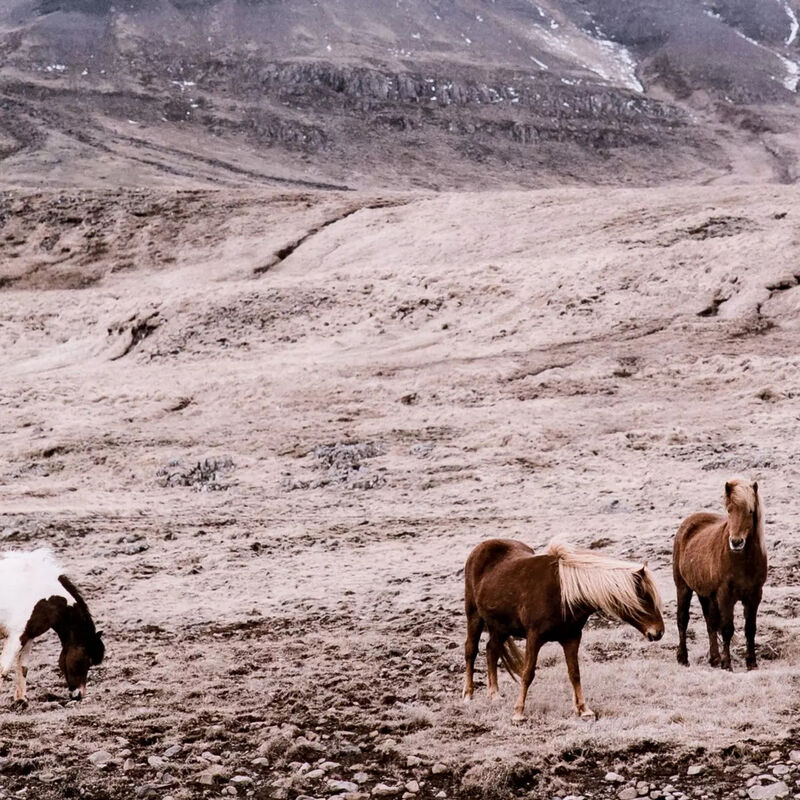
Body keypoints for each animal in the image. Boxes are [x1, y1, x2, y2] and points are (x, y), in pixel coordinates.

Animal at [0, 549, 105, 704]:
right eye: (87, 659)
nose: (79, 695)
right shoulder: (17, 636)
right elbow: (4, 669)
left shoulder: (28, 636)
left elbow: (23, 667)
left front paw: (21, 700)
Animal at [463, 538, 664, 721]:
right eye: (644, 598)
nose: (659, 632)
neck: (563, 595)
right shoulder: (534, 638)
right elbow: (528, 673)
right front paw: (519, 712)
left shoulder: (571, 638)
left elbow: (575, 673)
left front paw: (584, 709)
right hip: (474, 616)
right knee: (471, 651)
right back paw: (468, 694)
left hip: (501, 627)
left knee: (492, 650)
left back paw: (494, 694)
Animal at [673, 478, 767, 671]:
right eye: (729, 510)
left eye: (750, 511)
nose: (736, 542)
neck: (742, 560)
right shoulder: (725, 595)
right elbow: (727, 629)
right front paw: (727, 664)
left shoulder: (755, 595)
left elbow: (750, 629)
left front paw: (751, 663)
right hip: (683, 587)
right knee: (682, 620)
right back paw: (683, 658)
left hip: (706, 594)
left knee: (710, 622)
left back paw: (714, 659)